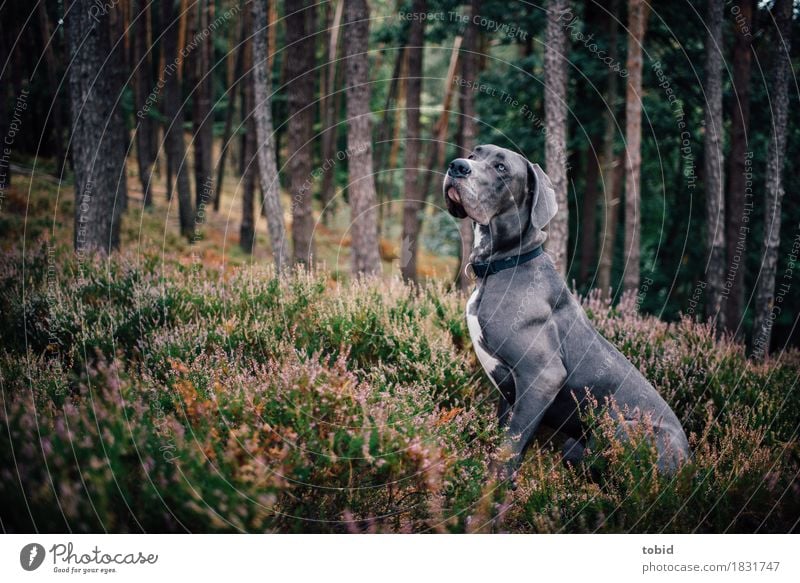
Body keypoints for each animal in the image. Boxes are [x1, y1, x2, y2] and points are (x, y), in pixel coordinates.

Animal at [440, 146, 692, 484]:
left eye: (501, 167)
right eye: (474, 154)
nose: (457, 166)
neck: (507, 264)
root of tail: (691, 465)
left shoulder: (542, 376)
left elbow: (510, 446)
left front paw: (490, 494)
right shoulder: (510, 394)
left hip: (617, 426)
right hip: (574, 446)